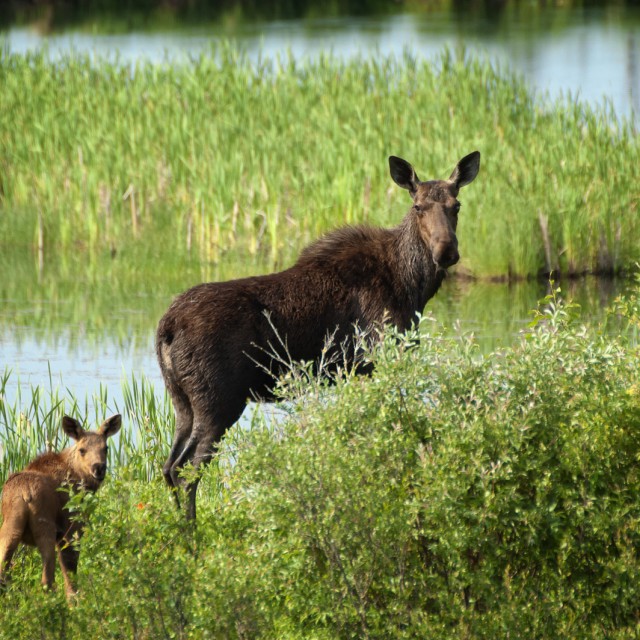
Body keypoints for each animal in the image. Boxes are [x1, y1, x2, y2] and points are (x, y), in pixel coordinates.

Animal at [0, 414, 121, 598]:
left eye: (105, 447)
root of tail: (24, 494)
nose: (99, 468)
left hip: (10, 528)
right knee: (47, 579)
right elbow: (70, 577)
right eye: (82, 450)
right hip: (45, 528)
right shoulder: (71, 530)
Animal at [157, 152, 480, 519]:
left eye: (457, 205)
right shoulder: (371, 361)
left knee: (168, 467)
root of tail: (166, 329)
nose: (446, 251)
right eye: (418, 206)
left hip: (182, 401)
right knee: (186, 472)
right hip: (218, 401)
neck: (414, 288)